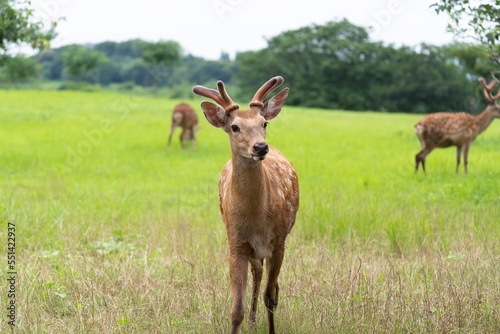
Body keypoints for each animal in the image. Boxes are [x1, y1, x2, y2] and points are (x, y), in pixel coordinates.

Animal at [193, 76, 298, 334]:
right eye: (234, 126)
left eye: (264, 123)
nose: (260, 147)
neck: (257, 216)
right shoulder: (236, 243)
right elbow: (236, 309)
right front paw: (245, 318)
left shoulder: (279, 241)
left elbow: (269, 296)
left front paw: (272, 329)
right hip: (249, 247)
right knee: (257, 272)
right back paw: (252, 318)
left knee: (270, 285)